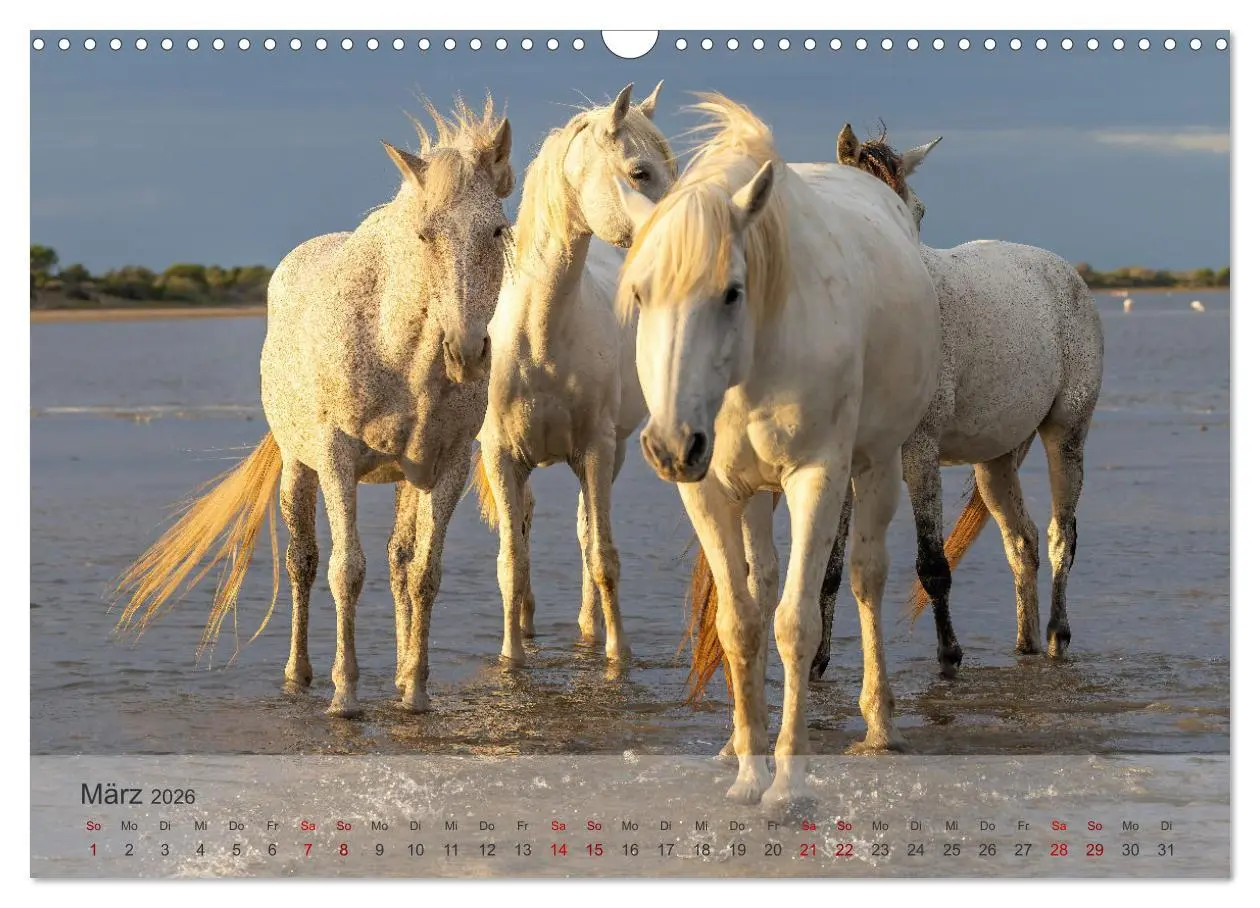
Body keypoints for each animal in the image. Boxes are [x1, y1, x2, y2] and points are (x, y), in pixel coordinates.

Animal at [112, 97, 516, 718]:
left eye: (496, 230)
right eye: (424, 235)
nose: (467, 352)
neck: (399, 351)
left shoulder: (447, 464)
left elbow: (423, 573)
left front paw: (416, 691)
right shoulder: (336, 458)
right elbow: (344, 570)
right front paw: (344, 695)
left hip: (405, 475)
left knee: (399, 562)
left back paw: (398, 674)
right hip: (298, 466)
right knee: (301, 561)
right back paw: (298, 675)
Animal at [459, 82, 675, 666]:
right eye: (641, 172)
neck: (541, 337)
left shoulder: (597, 450)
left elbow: (602, 555)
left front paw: (617, 655)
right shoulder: (501, 455)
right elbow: (510, 561)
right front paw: (512, 656)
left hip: (607, 456)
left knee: (584, 533)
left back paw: (586, 629)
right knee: (526, 528)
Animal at [616, 94, 941, 807]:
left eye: (731, 291)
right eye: (640, 293)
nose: (671, 444)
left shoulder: (818, 477)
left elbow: (798, 623)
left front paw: (787, 782)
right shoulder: (709, 491)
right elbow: (741, 622)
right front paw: (747, 769)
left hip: (877, 465)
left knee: (866, 576)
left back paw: (880, 723)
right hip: (753, 493)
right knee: (762, 587)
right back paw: (739, 742)